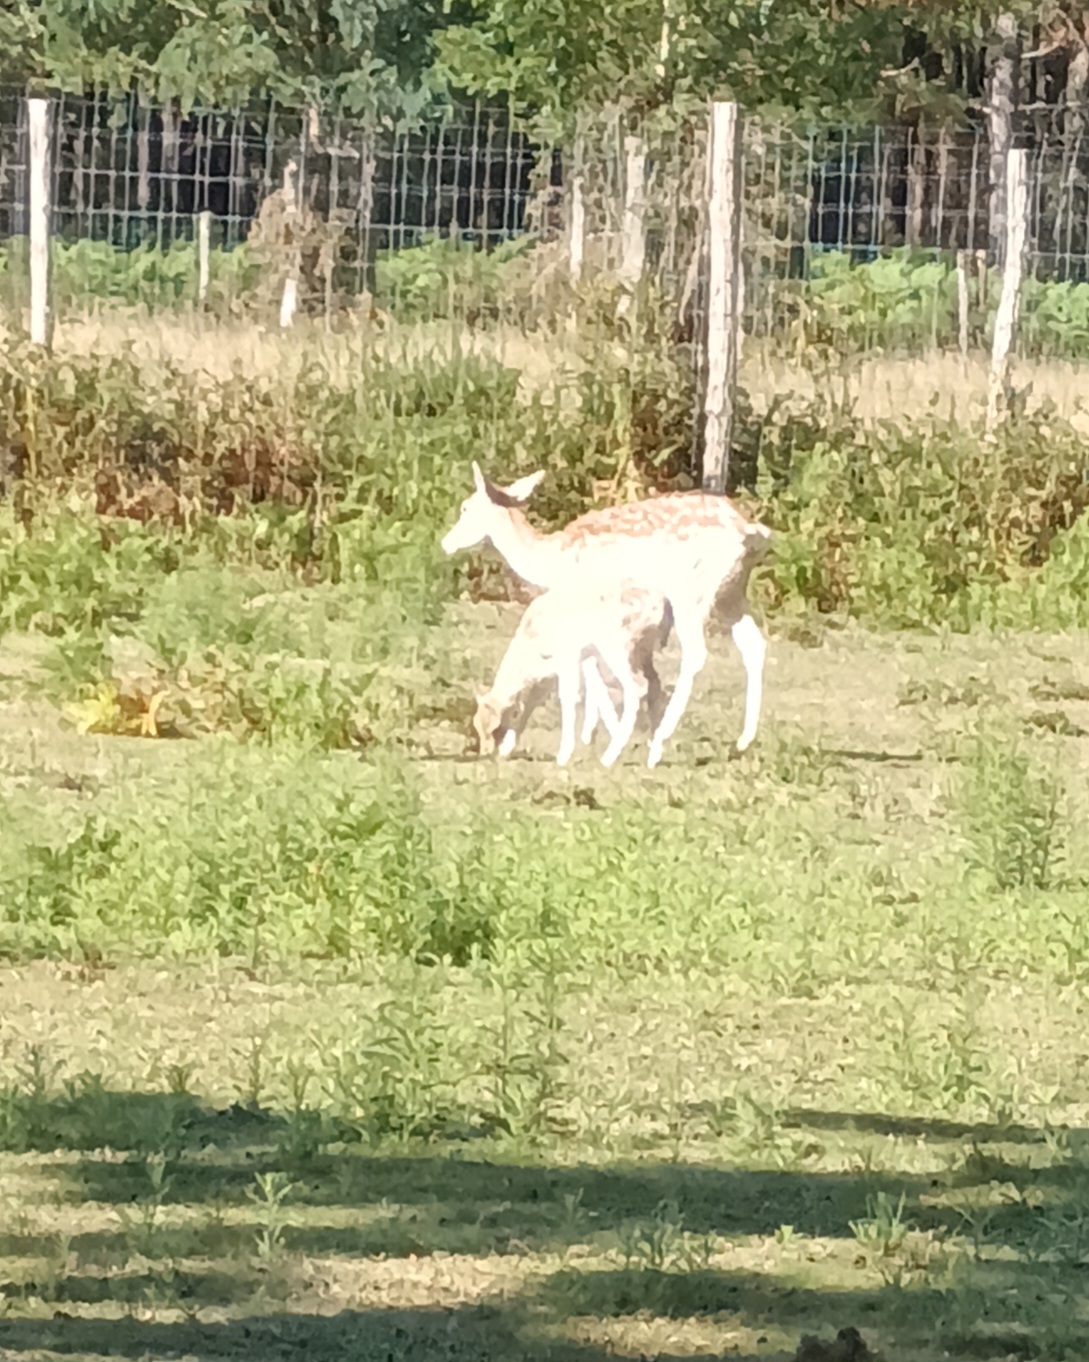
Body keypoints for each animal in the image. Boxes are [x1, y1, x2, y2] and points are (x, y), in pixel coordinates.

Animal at [473, 582, 672, 767]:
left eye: (495, 727)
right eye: (476, 725)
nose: (485, 753)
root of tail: (663, 604)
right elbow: (534, 702)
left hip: (621, 651)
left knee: (638, 687)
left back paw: (613, 752)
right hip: (643, 652)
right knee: (655, 686)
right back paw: (653, 755)